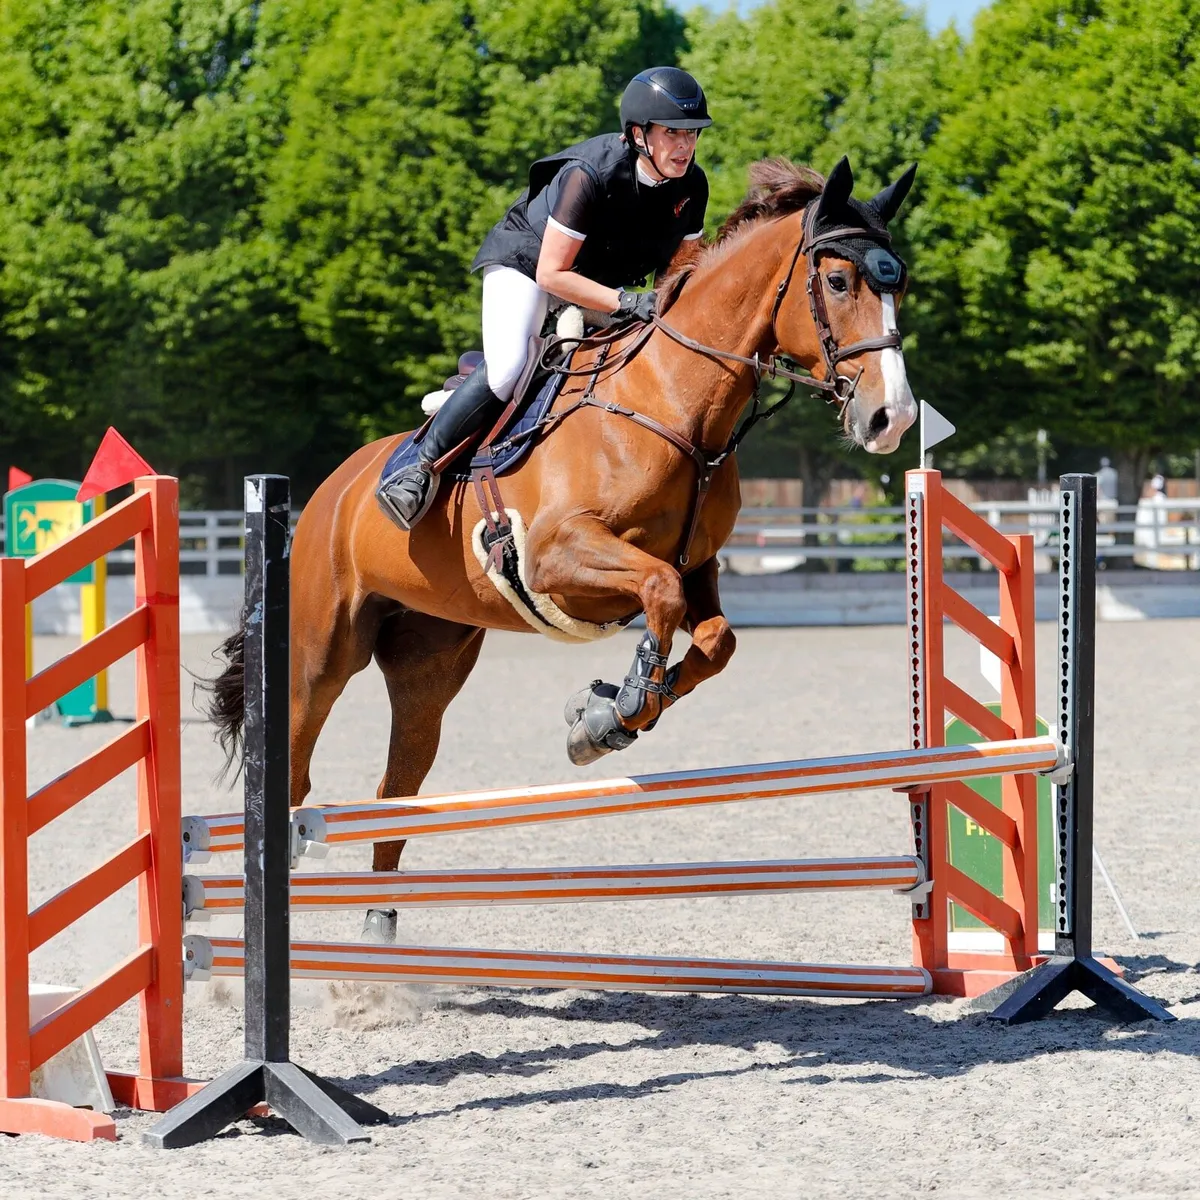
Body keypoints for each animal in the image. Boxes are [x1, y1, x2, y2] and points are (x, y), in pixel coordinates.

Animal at [206, 155, 919, 932]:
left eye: (899, 284)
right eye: (840, 281)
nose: (891, 418)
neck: (674, 401)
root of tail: (332, 487)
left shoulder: (697, 566)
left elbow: (713, 637)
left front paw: (606, 709)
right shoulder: (557, 557)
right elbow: (659, 595)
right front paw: (614, 709)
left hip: (429, 664)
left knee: (399, 786)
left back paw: (379, 926)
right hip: (319, 654)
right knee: (296, 768)